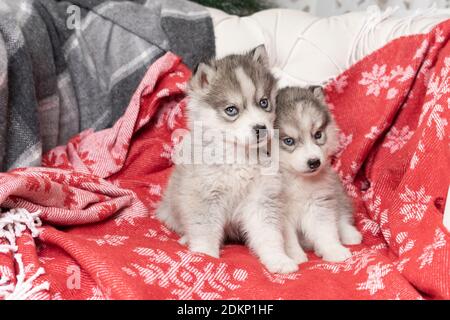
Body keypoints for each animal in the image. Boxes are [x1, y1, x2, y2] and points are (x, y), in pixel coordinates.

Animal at [156, 46, 298, 274]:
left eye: (264, 102)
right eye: (231, 110)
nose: (261, 128)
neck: (240, 157)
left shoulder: (261, 199)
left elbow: (269, 235)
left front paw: (278, 259)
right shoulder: (206, 196)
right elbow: (204, 231)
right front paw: (204, 255)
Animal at [274, 86, 362, 264]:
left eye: (318, 135)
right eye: (289, 141)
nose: (314, 162)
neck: (296, 178)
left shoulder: (319, 201)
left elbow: (325, 229)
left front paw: (333, 250)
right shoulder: (281, 211)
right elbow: (288, 237)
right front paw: (295, 255)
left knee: (341, 216)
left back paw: (349, 234)